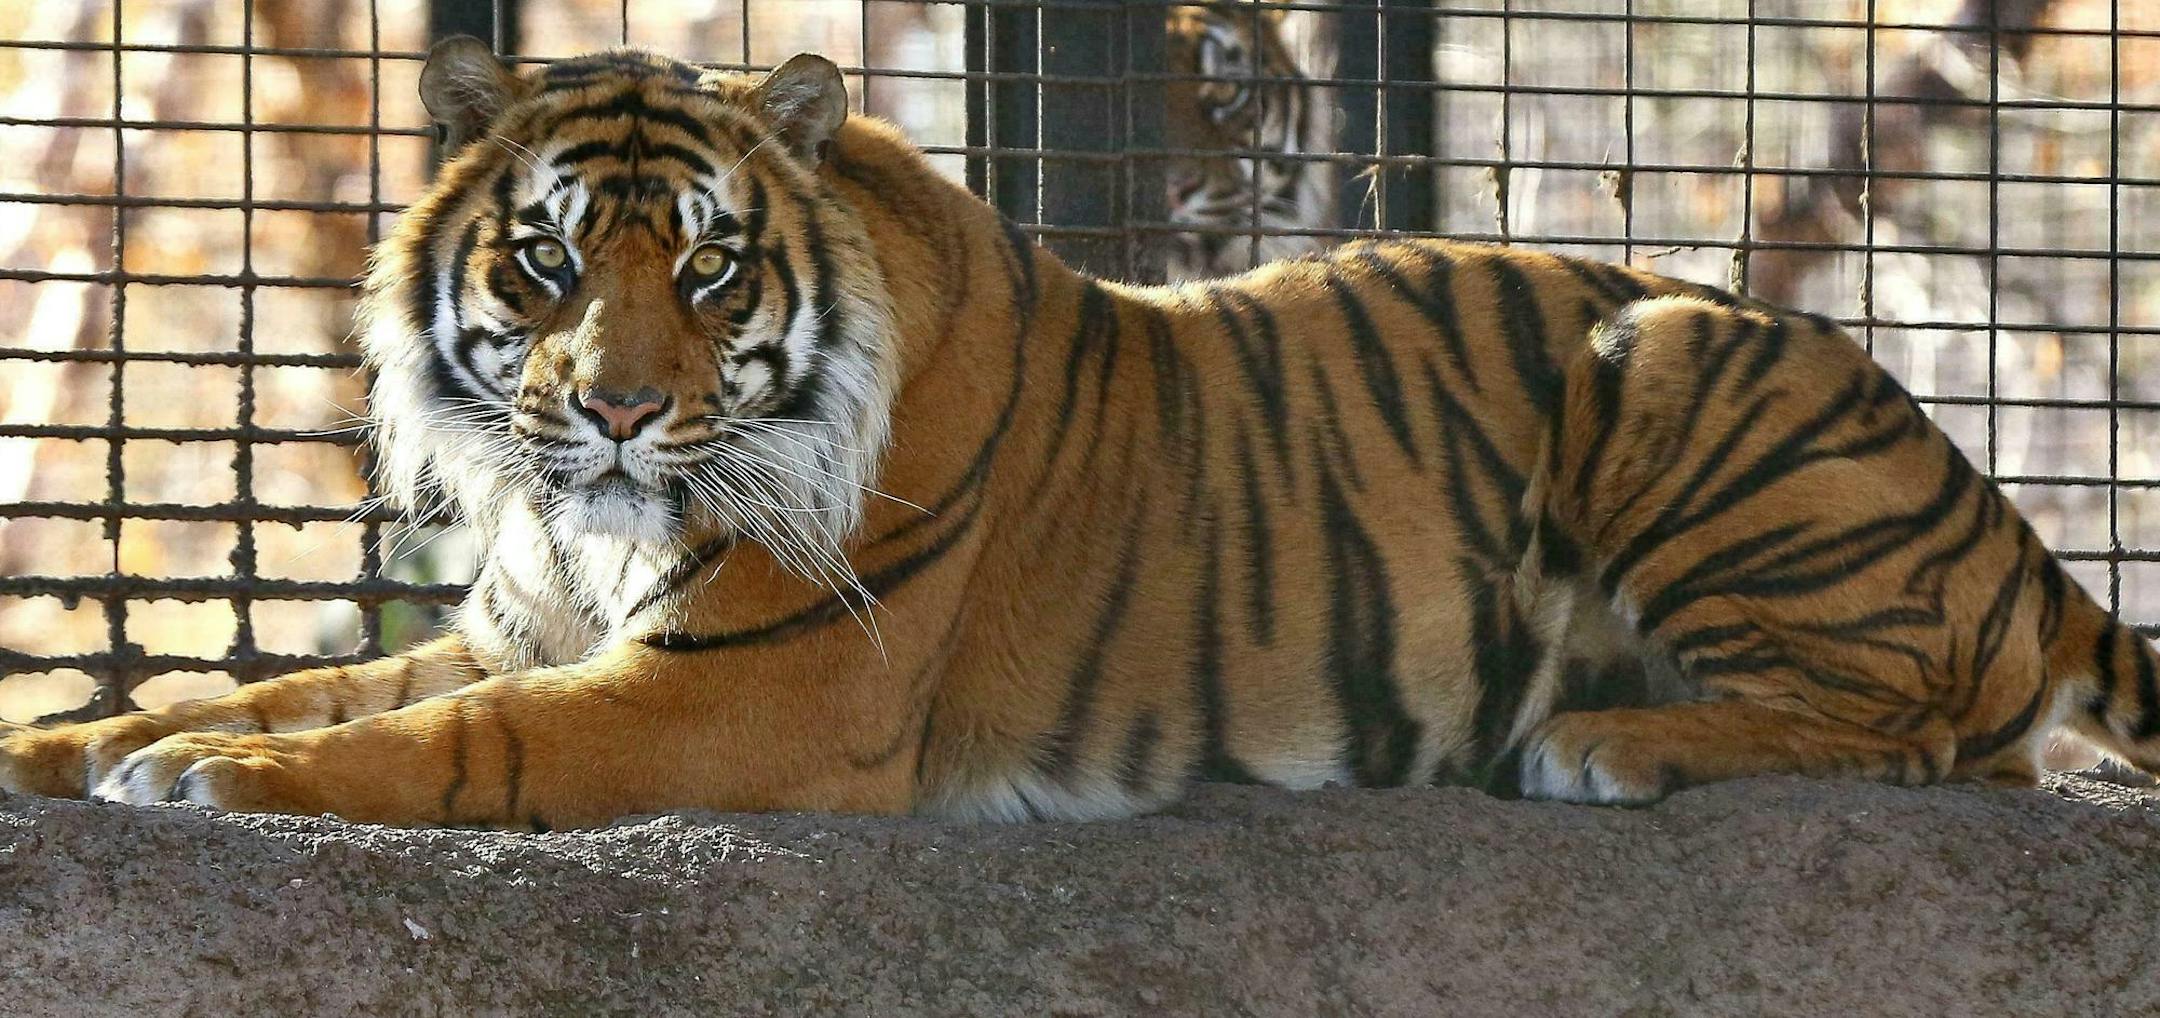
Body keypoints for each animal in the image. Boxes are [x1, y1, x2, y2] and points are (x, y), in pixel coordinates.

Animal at [0, 39, 2152, 830]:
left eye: (702, 267)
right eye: (541, 261)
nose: (610, 408)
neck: (583, 522)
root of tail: (2017, 537)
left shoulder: (750, 686)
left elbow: (456, 740)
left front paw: (205, 782)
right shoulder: (526, 611)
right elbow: (292, 682)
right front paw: (84, 738)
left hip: (1669, 350)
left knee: (1942, 725)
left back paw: (1613, 739)